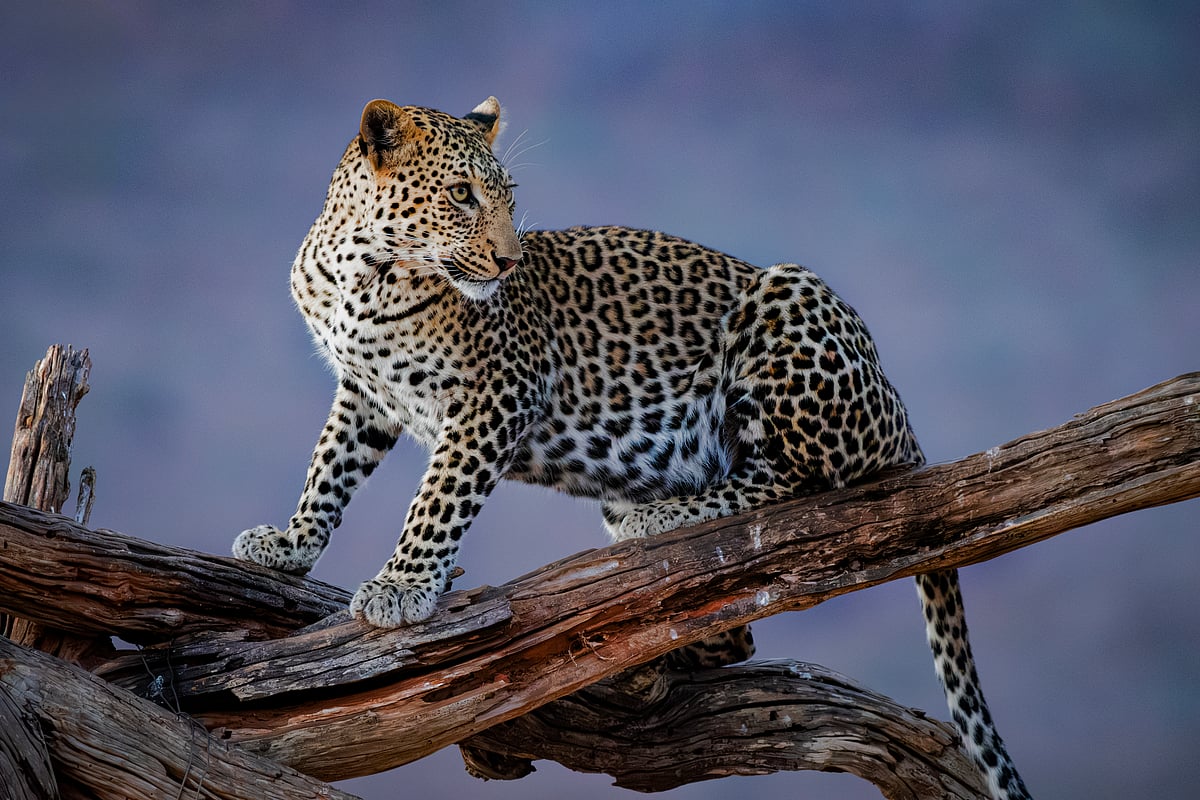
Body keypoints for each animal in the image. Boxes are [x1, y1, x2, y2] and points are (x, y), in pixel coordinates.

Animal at [233, 96, 1031, 799]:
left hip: (786, 301)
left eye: (508, 200)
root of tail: (900, 413)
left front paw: (403, 585)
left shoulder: (500, 393)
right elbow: (328, 470)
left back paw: (667, 517)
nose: (507, 261)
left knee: (800, 485)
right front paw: (290, 545)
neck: (360, 273)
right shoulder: (364, 394)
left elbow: (438, 497)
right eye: (461, 195)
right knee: (738, 631)